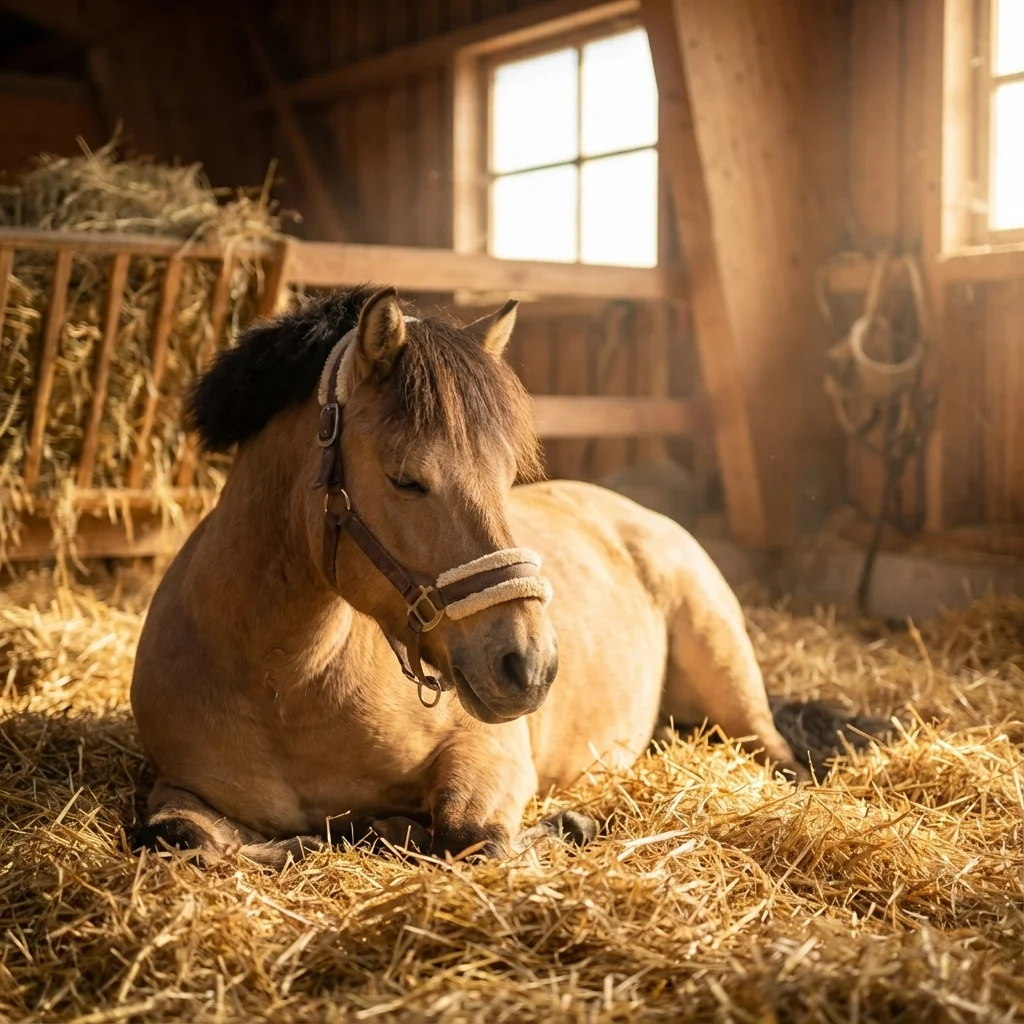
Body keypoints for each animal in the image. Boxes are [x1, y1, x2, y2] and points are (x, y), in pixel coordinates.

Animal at [131, 286, 862, 867]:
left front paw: (569, 823)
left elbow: (472, 839)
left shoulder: (491, 758)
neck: (287, 683)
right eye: (405, 479)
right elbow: (177, 839)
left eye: (507, 475)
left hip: (730, 681)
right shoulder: (179, 788)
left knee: (777, 751)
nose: (529, 665)